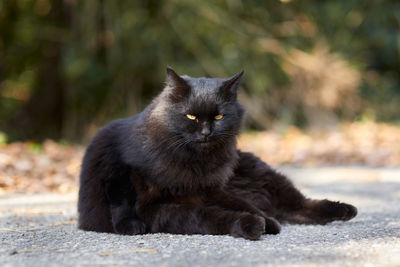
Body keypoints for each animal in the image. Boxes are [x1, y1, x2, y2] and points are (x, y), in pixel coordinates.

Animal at [77, 67, 356, 241]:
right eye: (191, 116)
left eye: (219, 116)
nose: (206, 132)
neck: (194, 162)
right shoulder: (162, 206)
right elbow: (211, 217)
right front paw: (251, 224)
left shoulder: (211, 190)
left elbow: (243, 205)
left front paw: (266, 222)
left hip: (269, 178)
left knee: (301, 205)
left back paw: (346, 210)